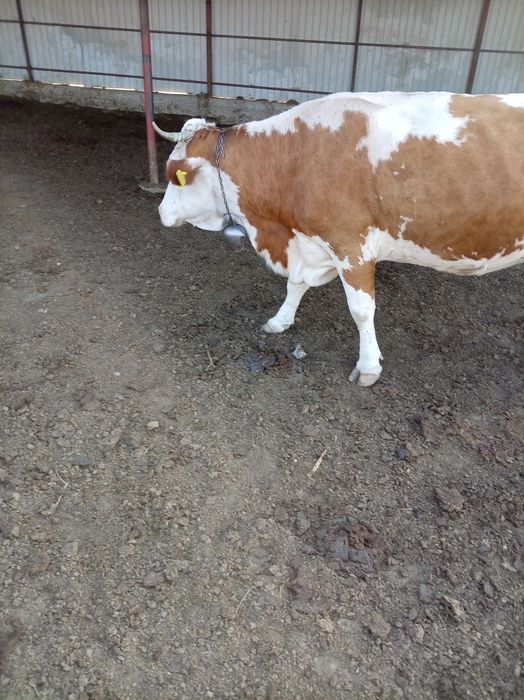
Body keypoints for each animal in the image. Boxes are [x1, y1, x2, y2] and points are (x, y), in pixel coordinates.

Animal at [153, 92, 524, 386]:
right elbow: (295, 285)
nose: (160, 212)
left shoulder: (351, 246)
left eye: (175, 176)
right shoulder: (309, 242)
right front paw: (280, 321)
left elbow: (361, 309)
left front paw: (369, 366)